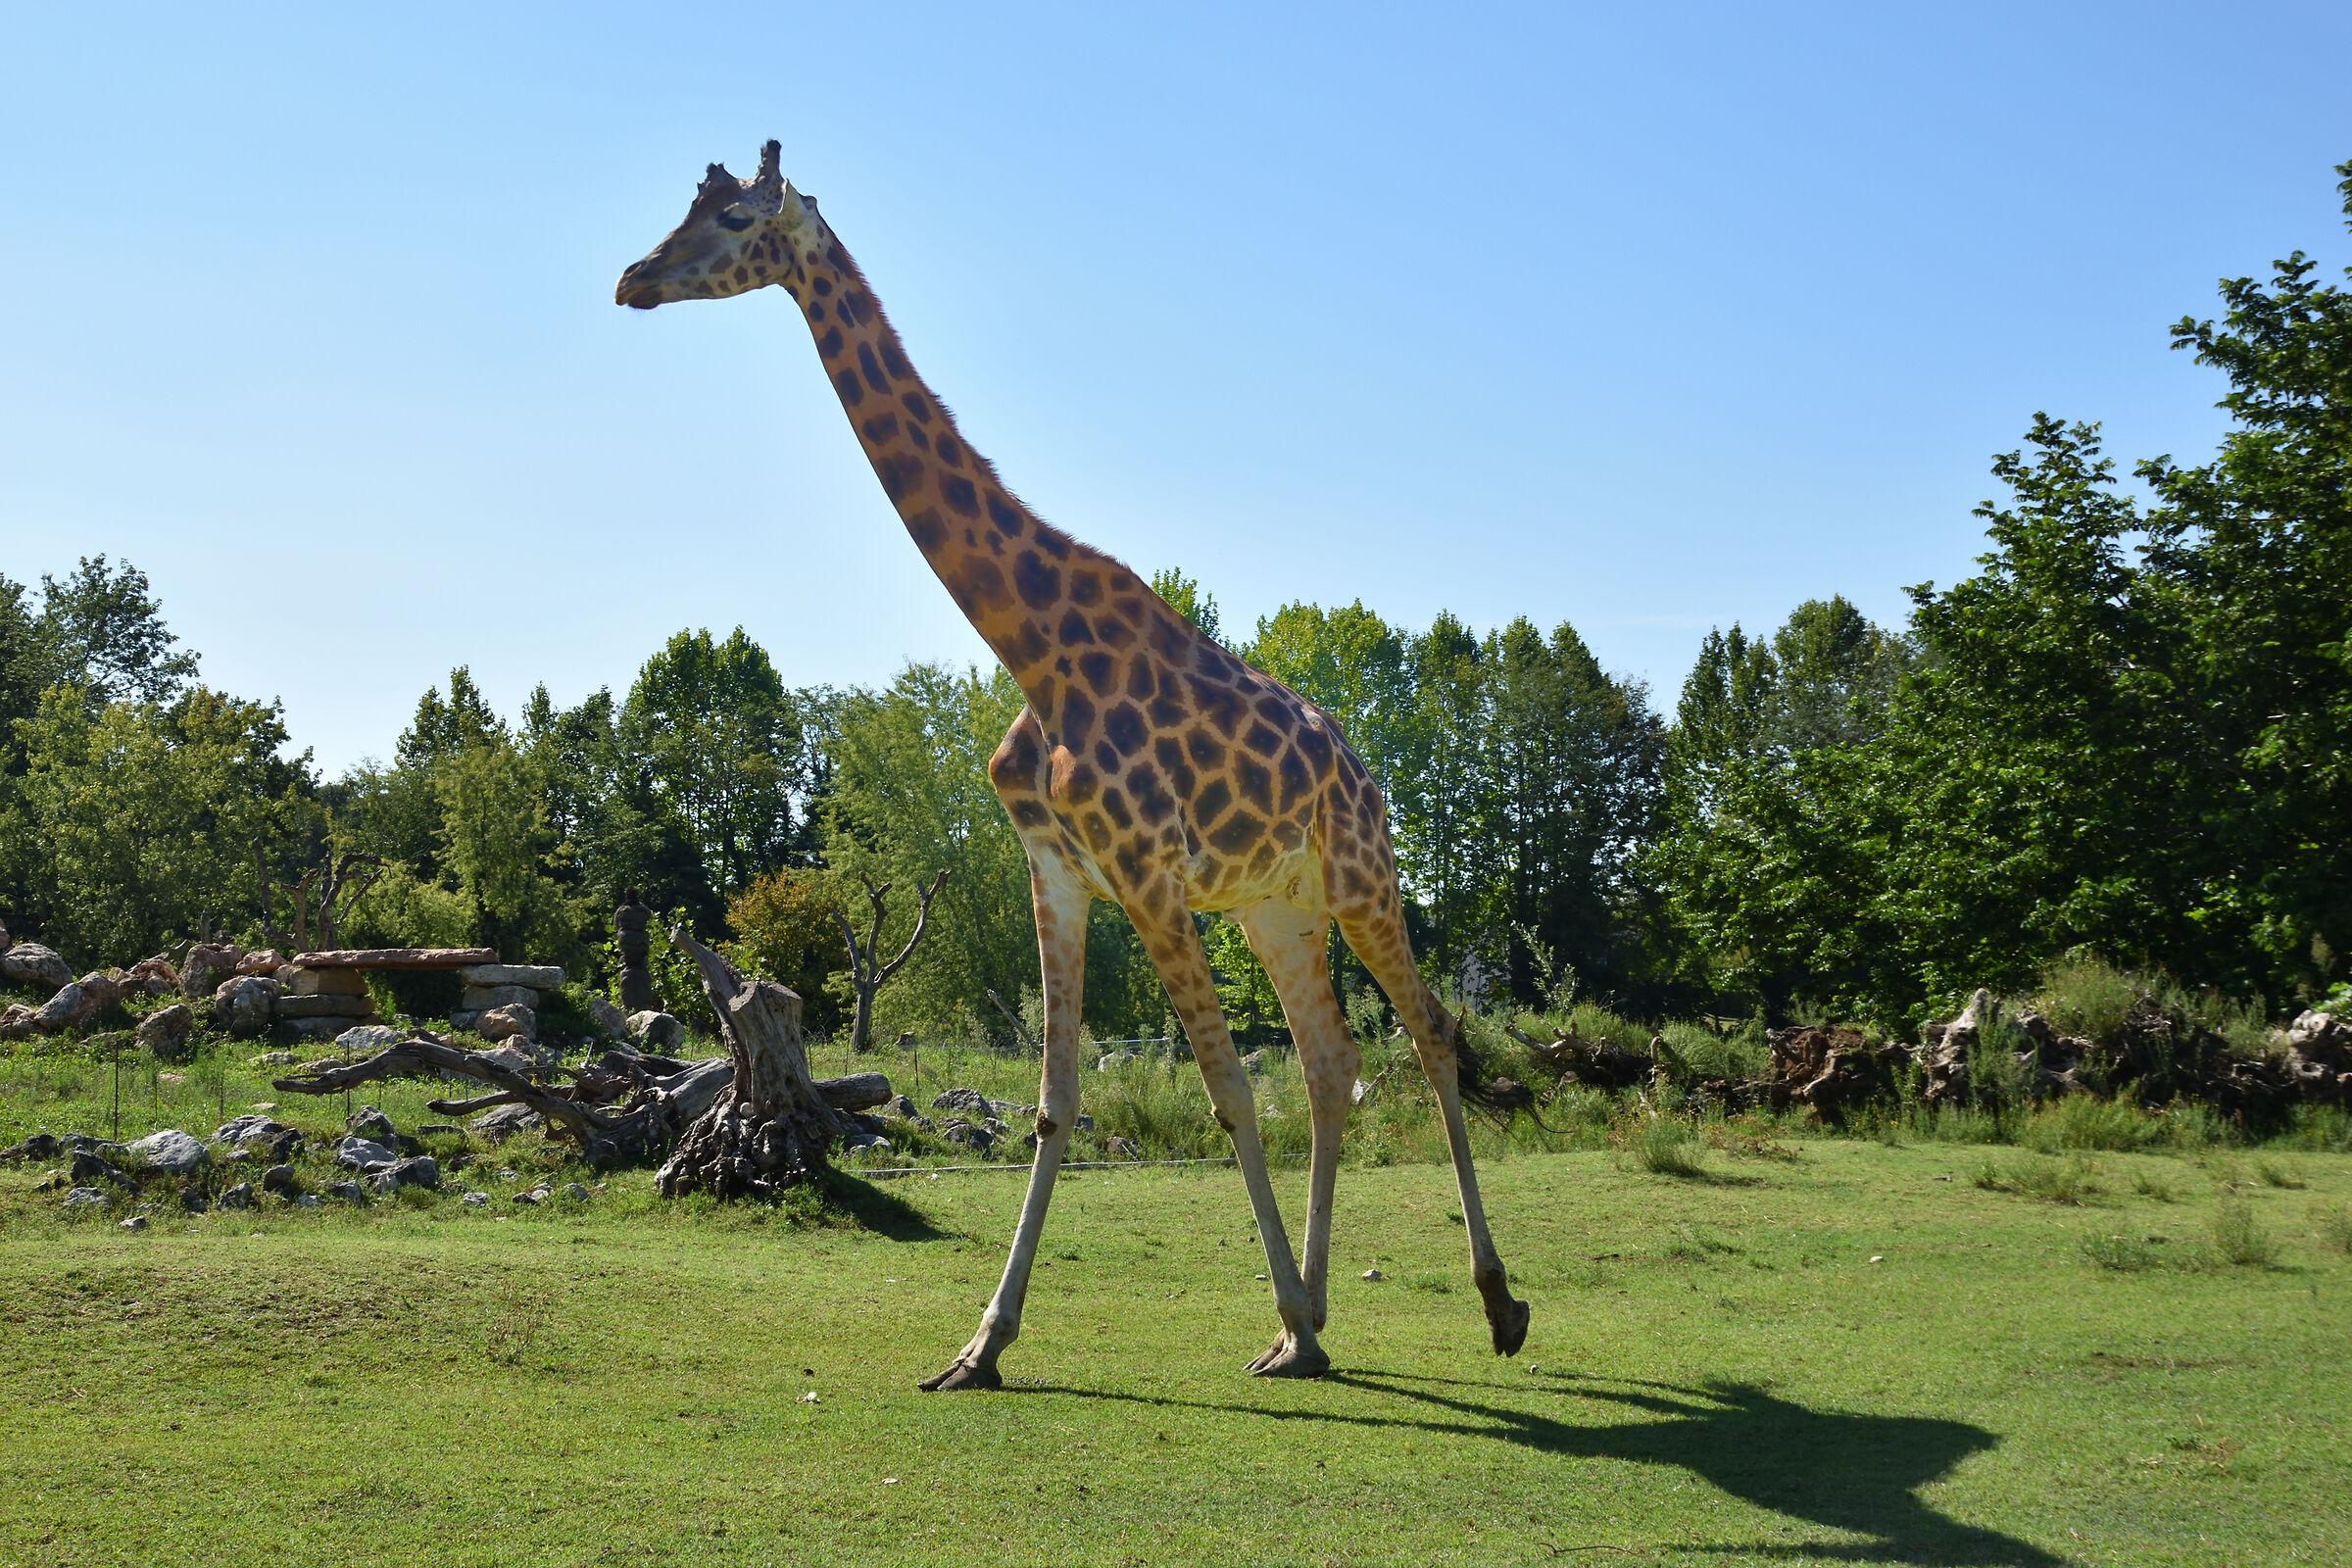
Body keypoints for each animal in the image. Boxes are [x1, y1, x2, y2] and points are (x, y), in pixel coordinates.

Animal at [616, 141, 1529, 1386]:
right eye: (687, 203)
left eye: (737, 219)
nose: (633, 279)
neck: (1032, 646)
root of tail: (1359, 765)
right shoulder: (1056, 866)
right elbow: (1056, 1100)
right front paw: (981, 1343)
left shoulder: (1146, 873)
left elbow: (1225, 1092)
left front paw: (1291, 1310)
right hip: (1276, 906)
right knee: (1330, 1063)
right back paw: (1307, 1331)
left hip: (1358, 878)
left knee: (1428, 1033)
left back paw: (1495, 1304)